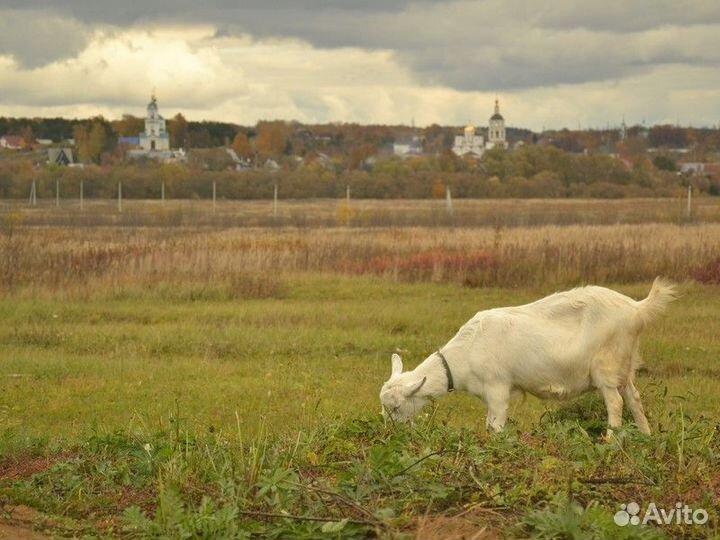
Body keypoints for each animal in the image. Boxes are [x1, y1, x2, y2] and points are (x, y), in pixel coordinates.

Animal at [380, 278, 676, 434]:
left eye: (395, 407)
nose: (389, 434)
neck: (465, 353)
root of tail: (637, 308)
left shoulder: (497, 388)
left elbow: (495, 426)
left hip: (606, 365)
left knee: (615, 402)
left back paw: (610, 441)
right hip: (624, 366)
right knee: (634, 398)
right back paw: (646, 436)